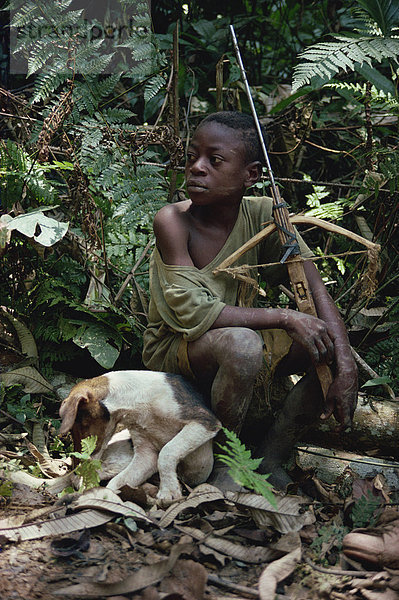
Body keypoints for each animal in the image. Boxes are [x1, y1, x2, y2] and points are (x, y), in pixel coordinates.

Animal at [59, 370, 222, 506]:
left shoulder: (205, 422)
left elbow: (167, 451)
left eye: (81, 425)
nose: (76, 473)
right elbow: (116, 482)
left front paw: (168, 492)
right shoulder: (146, 454)